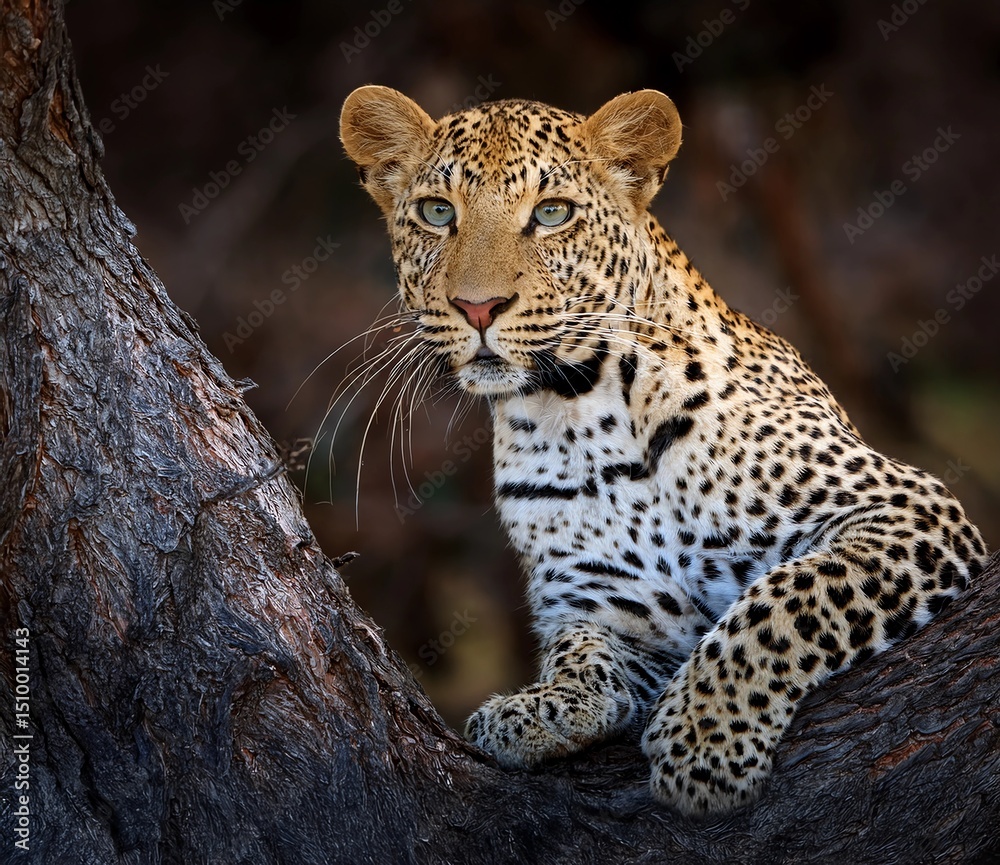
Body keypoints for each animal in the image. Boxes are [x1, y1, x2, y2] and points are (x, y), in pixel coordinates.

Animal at [338, 85, 987, 817]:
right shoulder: (613, 601)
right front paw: (537, 708)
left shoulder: (902, 505)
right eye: (437, 212)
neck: (576, 411)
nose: (478, 307)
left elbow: (782, 602)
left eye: (552, 212)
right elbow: (580, 648)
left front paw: (703, 738)